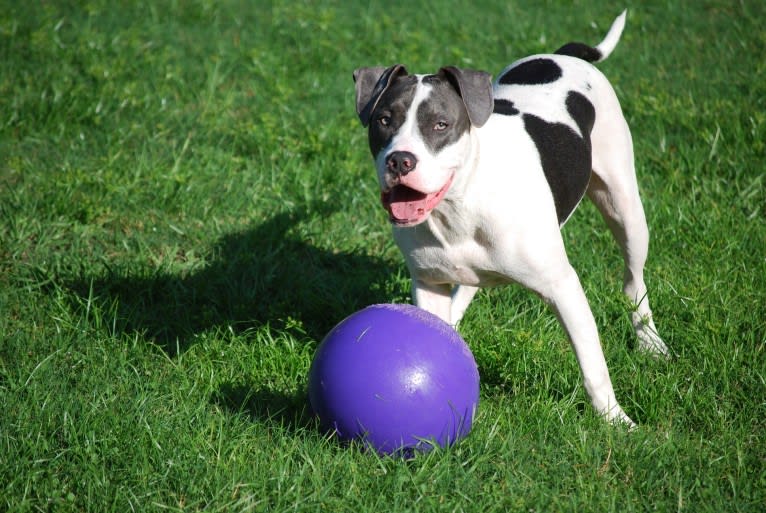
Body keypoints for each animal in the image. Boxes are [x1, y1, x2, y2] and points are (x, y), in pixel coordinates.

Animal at [356, 11, 672, 424]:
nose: (400, 160)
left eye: (441, 124)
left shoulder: (563, 288)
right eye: (383, 120)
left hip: (625, 207)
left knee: (634, 279)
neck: (462, 203)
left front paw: (616, 421)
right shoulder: (430, 283)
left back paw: (650, 342)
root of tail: (564, 55)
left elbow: (593, 365)